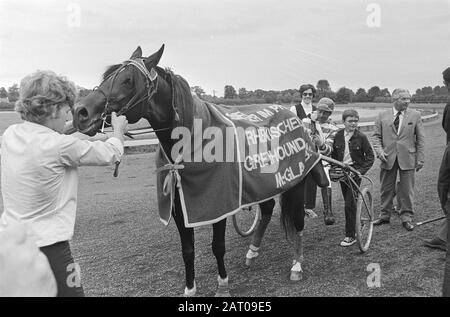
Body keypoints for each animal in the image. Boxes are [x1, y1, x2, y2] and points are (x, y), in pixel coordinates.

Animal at [72, 45, 328, 296]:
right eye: (107, 76)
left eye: (127, 80)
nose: (80, 112)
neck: (193, 141)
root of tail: (293, 116)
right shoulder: (178, 204)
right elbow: (187, 249)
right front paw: (190, 288)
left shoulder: (220, 203)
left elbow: (218, 246)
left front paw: (222, 285)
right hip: (263, 184)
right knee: (266, 209)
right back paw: (252, 251)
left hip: (296, 179)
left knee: (297, 220)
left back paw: (297, 264)